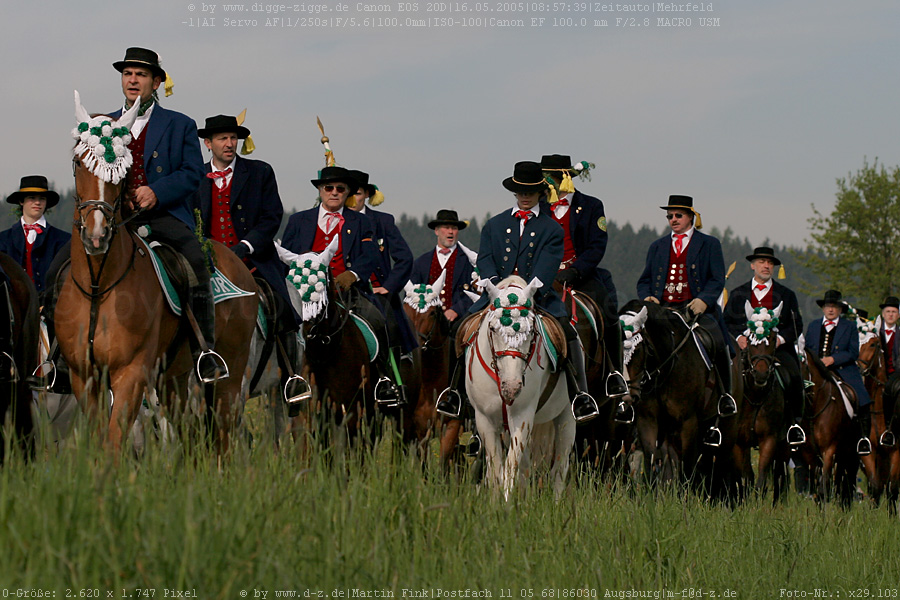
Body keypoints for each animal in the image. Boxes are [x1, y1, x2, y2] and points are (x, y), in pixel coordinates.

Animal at [55, 91, 256, 454]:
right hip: (173, 378)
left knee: (222, 434)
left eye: (122, 170)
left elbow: (114, 444)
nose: (96, 235)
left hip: (230, 374)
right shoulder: (84, 376)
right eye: (78, 162)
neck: (99, 285)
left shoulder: (131, 374)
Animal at [460, 274, 572, 500]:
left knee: (559, 468)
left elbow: (510, 467)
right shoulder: (485, 420)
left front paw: (506, 502)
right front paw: (496, 504)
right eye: (493, 329)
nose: (512, 387)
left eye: (532, 331)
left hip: (567, 416)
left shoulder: (522, 417)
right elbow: (496, 470)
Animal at [616, 300, 740, 502]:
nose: (626, 395)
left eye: (637, 349)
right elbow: (652, 461)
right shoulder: (647, 420)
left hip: (728, 428)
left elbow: (688, 465)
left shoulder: (688, 422)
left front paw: (685, 501)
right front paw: (653, 500)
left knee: (720, 463)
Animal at [732, 300, 788, 502]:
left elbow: (761, 481)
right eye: (750, 340)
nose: (761, 374)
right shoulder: (739, 443)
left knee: (781, 475)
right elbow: (745, 478)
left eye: (772, 338)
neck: (754, 397)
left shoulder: (769, 439)